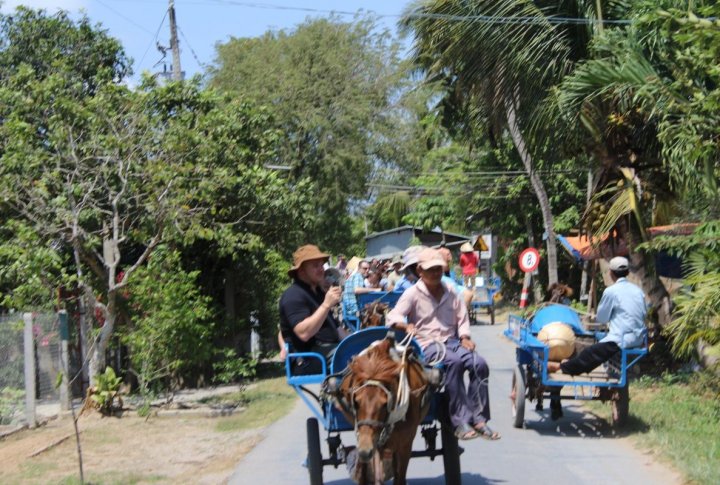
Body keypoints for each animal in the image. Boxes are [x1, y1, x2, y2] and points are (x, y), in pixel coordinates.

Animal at [338, 334, 434, 482]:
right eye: (356, 402)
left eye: (385, 404)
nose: (365, 451)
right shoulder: (370, 442)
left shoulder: (404, 444)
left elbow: (399, 477)